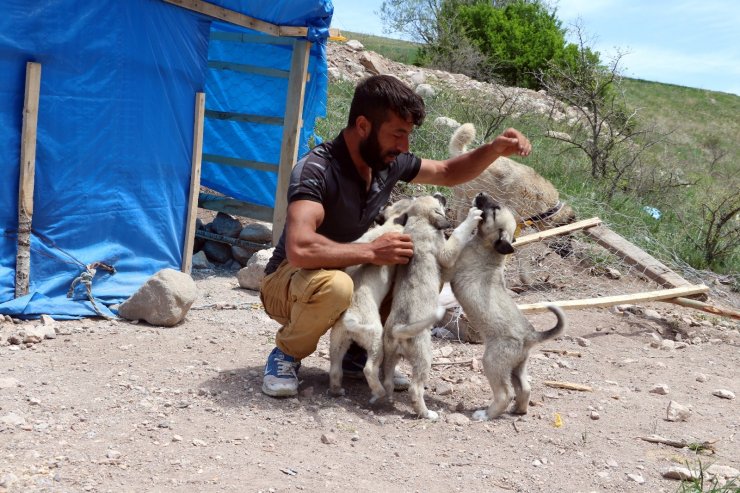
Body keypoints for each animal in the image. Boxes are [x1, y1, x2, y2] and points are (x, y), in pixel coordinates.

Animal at [328, 198, 414, 402]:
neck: (392, 223)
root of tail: (351, 318)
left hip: (337, 342)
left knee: (335, 369)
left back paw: (336, 390)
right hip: (376, 343)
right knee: (369, 369)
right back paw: (380, 392)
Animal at [382, 192, 480, 418]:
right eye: (438, 204)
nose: (441, 194)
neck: (419, 222)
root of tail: (399, 328)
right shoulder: (446, 257)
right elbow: (457, 237)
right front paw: (472, 217)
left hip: (390, 355)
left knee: (386, 380)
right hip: (424, 356)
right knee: (415, 389)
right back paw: (427, 414)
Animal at [450, 192, 568, 418]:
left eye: (495, 210)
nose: (481, 194)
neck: (489, 249)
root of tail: (530, 335)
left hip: (492, 362)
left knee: (505, 393)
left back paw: (486, 414)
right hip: (517, 366)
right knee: (525, 388)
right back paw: (519, 410)